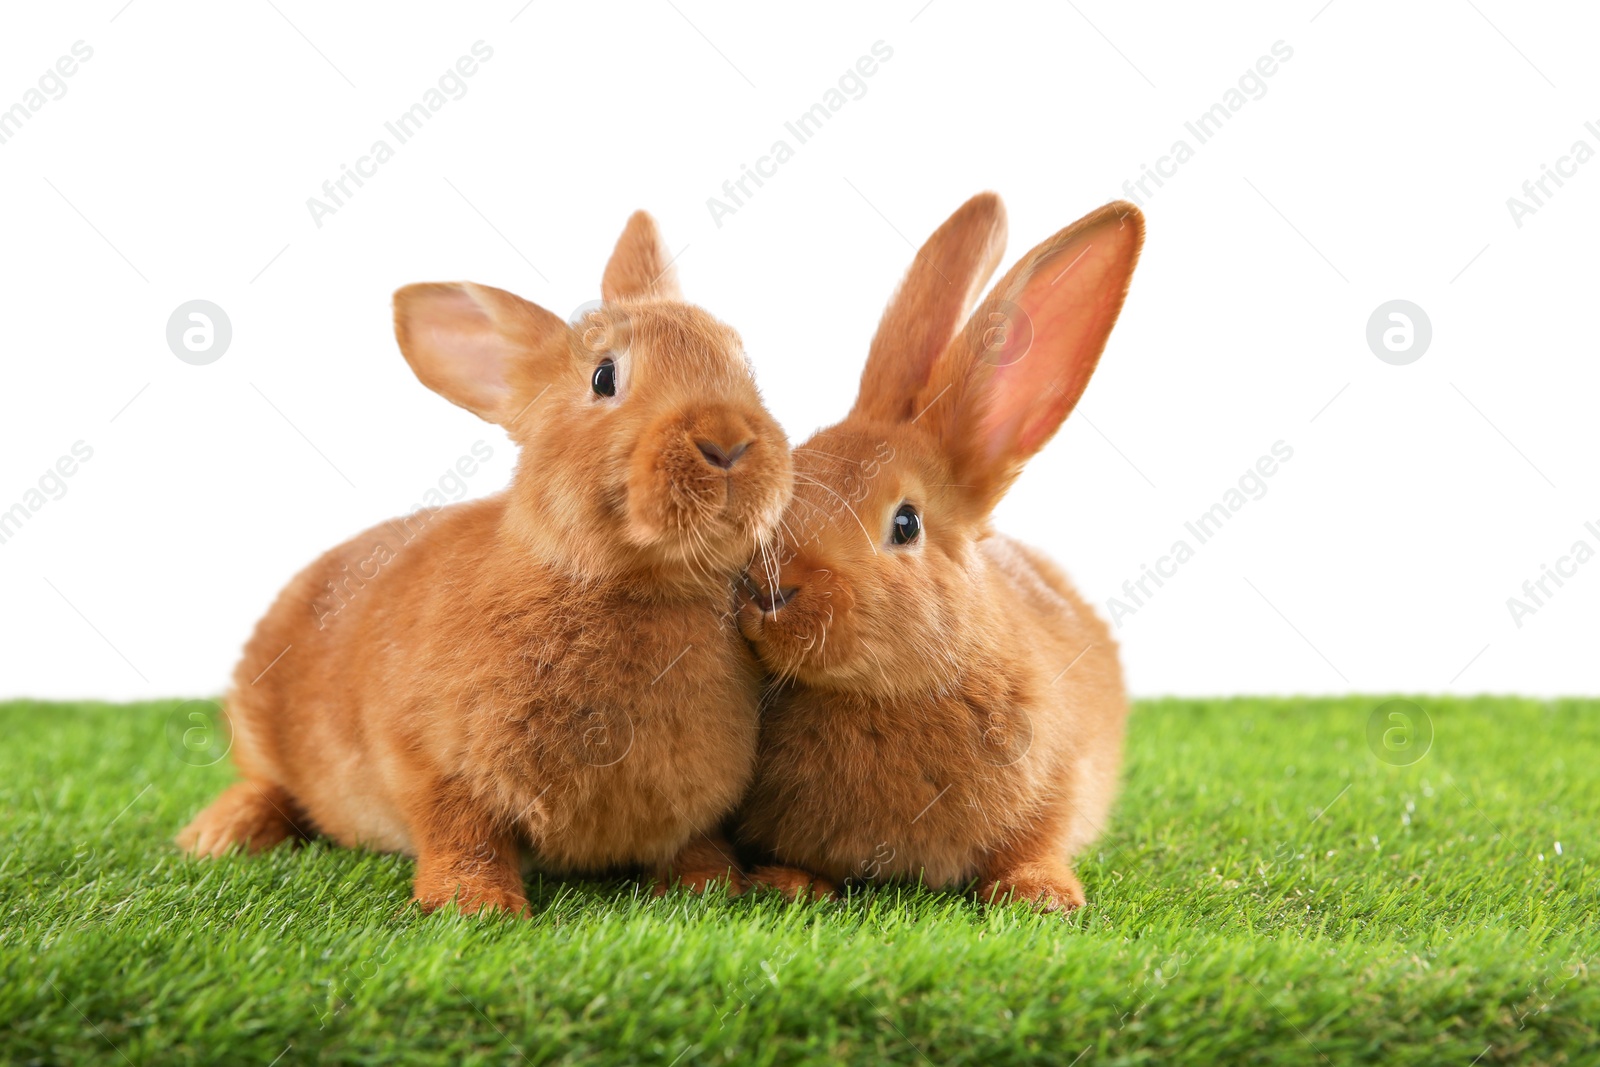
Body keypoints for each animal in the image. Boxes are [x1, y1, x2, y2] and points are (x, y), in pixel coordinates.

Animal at [180, 212, 793, 915]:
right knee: (266, 782)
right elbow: (461, 829)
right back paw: (217, 836)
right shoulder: (431, 761)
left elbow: (693, 843)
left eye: (742, 361)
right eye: (604, 377)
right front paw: (475, 906)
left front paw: (711, 887)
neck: (633, 582)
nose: (727, 440)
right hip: (259, 723)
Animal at [736, 191, 1139, 908]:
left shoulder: (1059, 775)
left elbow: (1037, 836)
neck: (881, 693)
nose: (766, 587)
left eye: (905, 524)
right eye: (794, 470)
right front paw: (787, 883)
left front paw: (1042, 896)